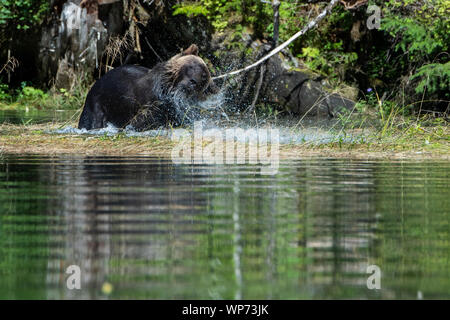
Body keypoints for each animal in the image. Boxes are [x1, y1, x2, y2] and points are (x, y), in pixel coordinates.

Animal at [79, 44, 220, 131]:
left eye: (203, 80)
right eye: (191, 66)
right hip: (99, 103)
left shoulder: (169, 108)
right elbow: (143, 119)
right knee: (93, 120)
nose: (192, 82)